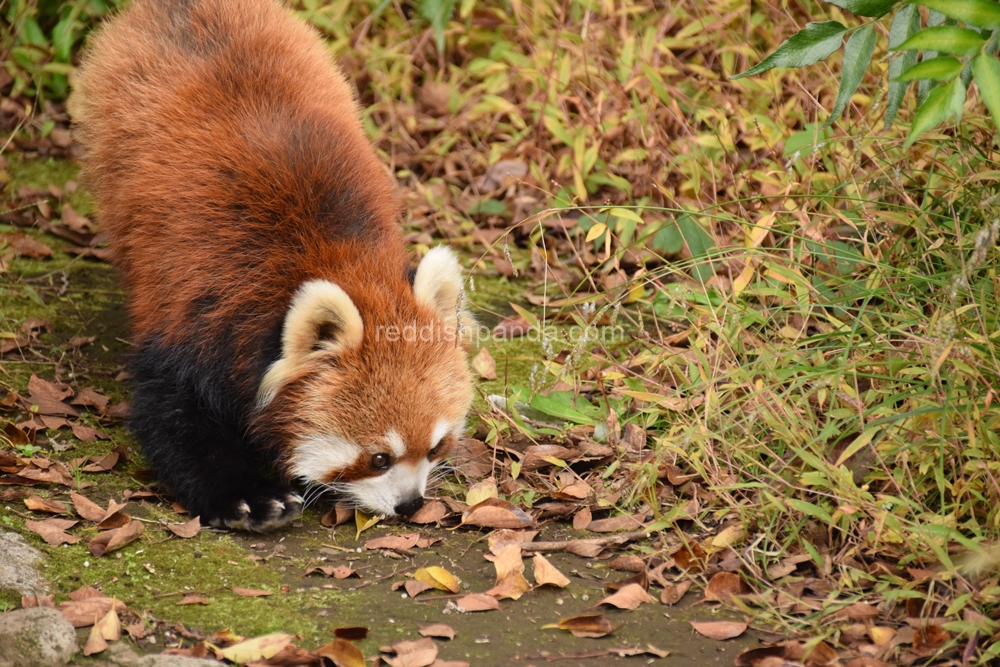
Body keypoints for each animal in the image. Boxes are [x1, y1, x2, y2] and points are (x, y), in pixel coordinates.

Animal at [74, 0, 472, 532]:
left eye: (434, 446)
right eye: (378, 458)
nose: (410, 504)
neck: (334, 256)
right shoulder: (199, 309)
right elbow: (172, 412)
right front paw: (248, 497)